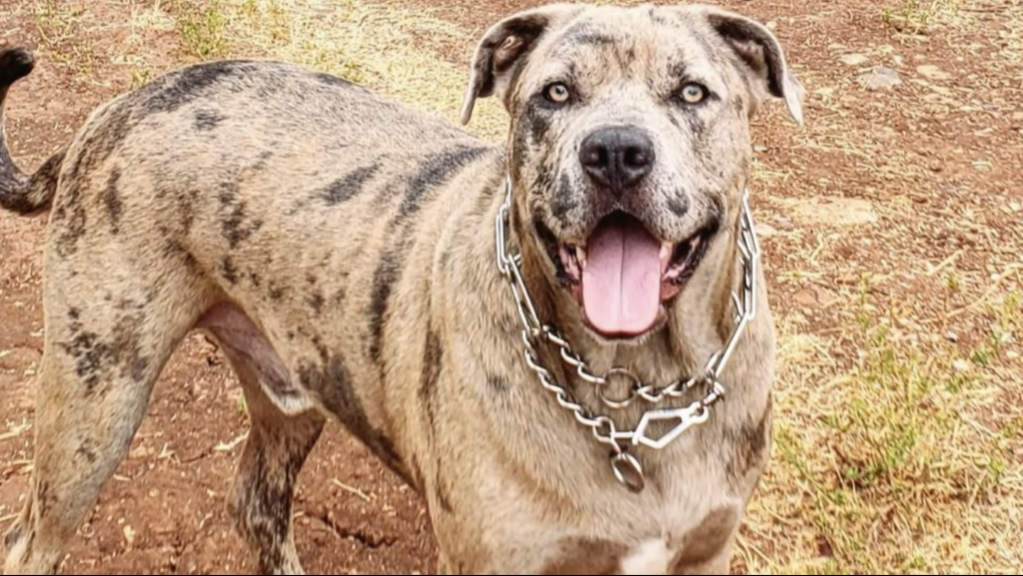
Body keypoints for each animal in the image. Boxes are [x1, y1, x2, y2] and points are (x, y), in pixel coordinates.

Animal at [0, 2, 797, 572]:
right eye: (555, 93)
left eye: (691, 92)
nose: (616, 152)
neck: (636, 389)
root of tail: (120, 103)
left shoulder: (704, 550)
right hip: (93, 407)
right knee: (32, 541)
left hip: (292, 394)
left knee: (256, 503)